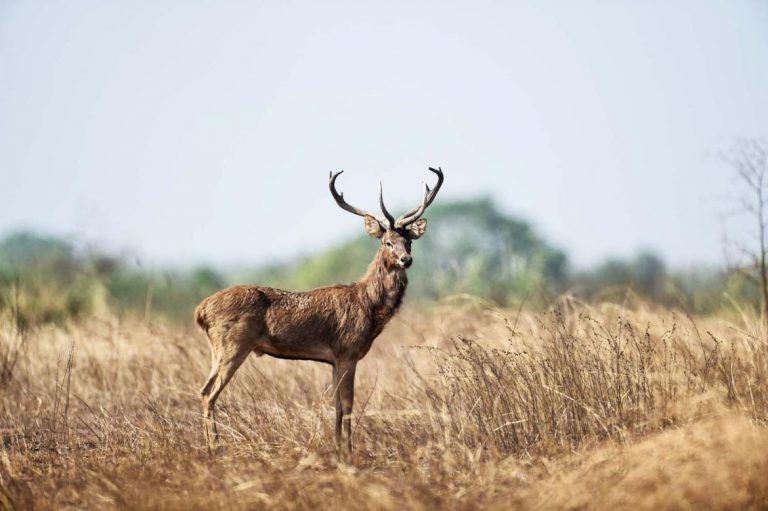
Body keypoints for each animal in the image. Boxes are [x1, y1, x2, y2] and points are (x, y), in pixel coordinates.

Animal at [195, 166, 444, 458]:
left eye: (409, 242)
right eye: (387, 242)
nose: (407, 259)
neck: (369, 308)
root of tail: (201, 311)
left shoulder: (334, 359)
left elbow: (336, 405)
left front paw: (337, 447)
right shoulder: (348, 351)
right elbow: (347, 405)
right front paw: (349, 452)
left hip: (219, 349)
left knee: (203, 390)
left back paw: (210, 445)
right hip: (233, 343)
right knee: (209, 393)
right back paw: (214, 447)